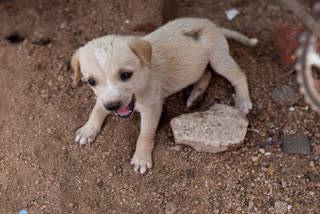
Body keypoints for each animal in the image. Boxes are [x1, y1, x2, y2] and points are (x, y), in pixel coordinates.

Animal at [70, 17, 258, 174]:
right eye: (91, 81)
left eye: (125, 75)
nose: (113, 106)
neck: (143, 76)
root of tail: (210, 24)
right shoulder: (103, 98)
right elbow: (97, 109)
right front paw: (88, 129)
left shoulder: (152, 108)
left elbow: (145, 134)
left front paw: (141, 158)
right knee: (206, 74)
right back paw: (195, 96)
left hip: (218, 59)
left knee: (239, 76)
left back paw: (243, 100)